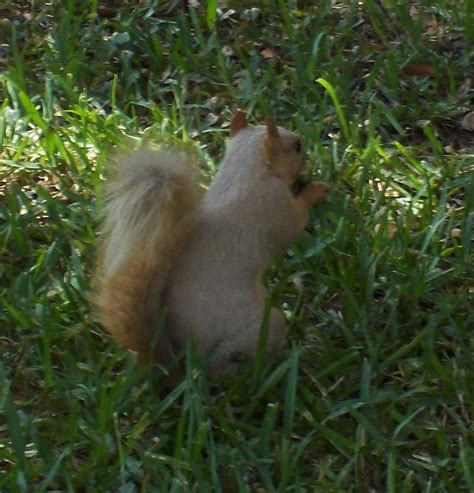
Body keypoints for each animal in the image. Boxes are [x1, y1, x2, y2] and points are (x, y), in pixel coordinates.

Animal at [92, 112, 330, 376]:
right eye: (296, 146)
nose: (307, 156)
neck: (242, 173)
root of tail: (182, 365)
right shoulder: (275, 205)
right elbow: (293, 227)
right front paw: (315, 190)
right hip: (263, 330)